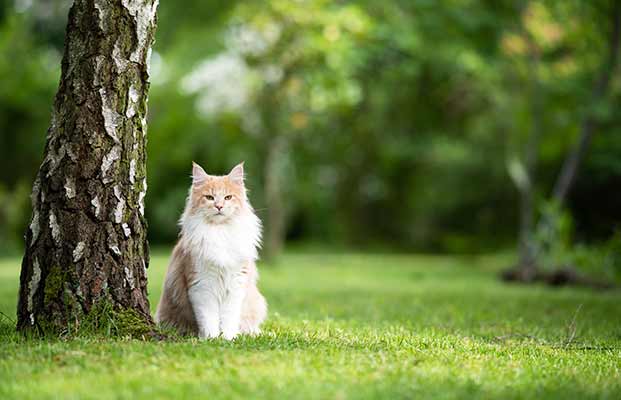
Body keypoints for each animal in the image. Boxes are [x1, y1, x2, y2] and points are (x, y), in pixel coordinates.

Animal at [155, 161, 266, 340]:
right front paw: (211, 339)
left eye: (228, 197)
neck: (219, 232)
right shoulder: (201, 286)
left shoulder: (236, 285)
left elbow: (229, 319)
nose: (219, 206)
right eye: (209, 198)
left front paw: (228, 339)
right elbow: (209, 319)